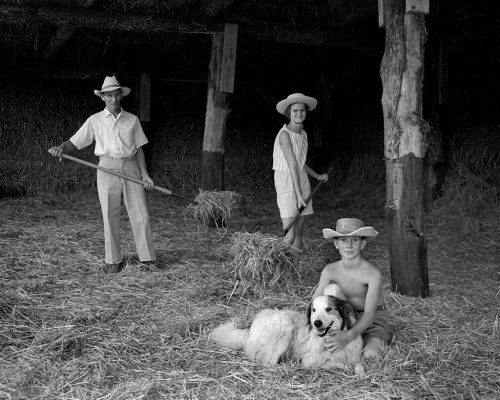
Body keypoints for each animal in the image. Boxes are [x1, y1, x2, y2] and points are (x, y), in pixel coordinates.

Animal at [210, 294, 364, 376]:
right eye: (314, 310)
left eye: (329, 309)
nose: (316, 323)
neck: (327, 339)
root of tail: (250, 328)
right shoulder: (309, 360)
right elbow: (330, 363)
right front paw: (344, 367)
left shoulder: (355, 357)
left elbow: (359, 365)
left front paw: (359, 374)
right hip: (285, 327)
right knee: (269, 363)